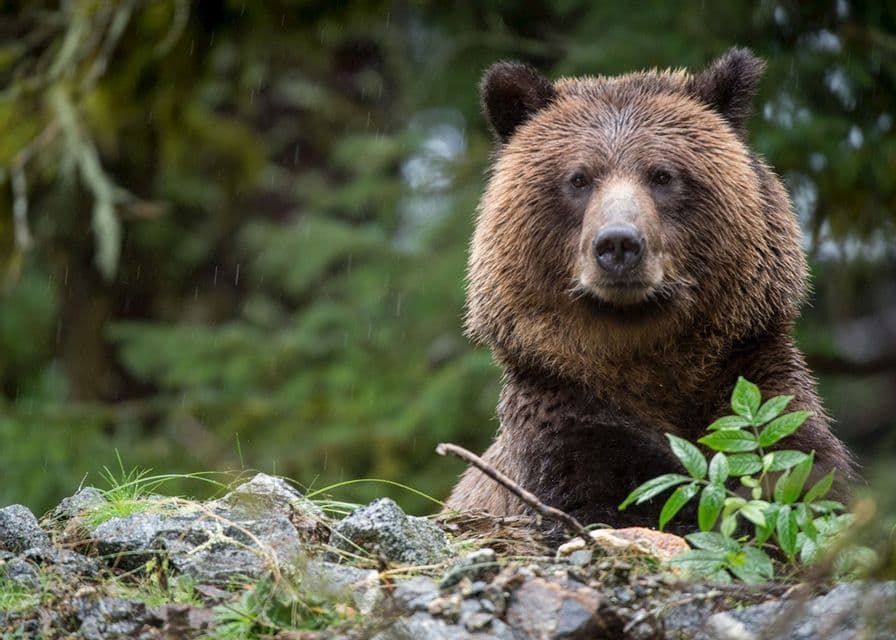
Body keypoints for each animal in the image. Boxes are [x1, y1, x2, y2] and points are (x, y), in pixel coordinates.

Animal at [446, 48, 855, 535]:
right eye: (579, 178)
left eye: (662, 175)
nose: (618, 243)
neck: (644, 356)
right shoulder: (563, 409)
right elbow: (611, 491)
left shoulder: (754, 379)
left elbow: (801, 471)